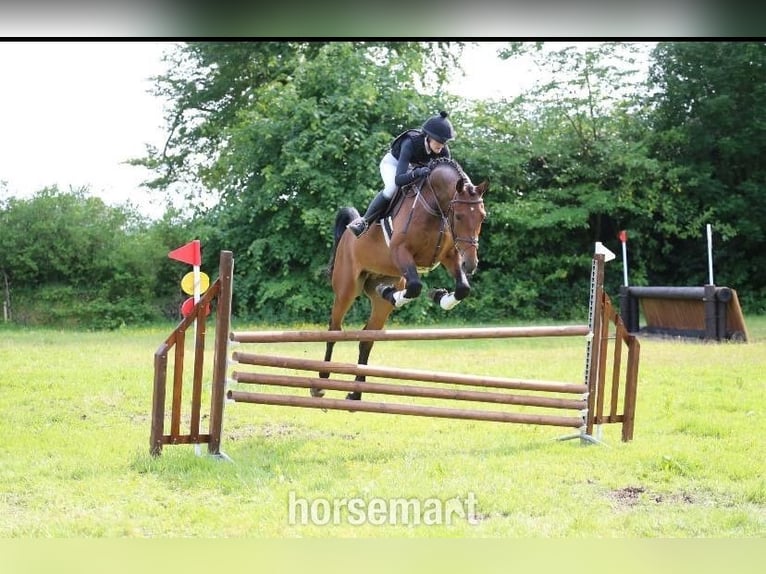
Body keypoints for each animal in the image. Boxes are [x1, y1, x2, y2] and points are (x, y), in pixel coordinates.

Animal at [313, 157, 489, 400]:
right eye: (460, 216)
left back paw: (356, 393)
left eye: (482, 216)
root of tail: (348, 232)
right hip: (347, 289)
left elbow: (462, 288)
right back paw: (321, 381)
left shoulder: (450, 256)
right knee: (334, 329)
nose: (470, 264)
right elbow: (415, 286)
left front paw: (439, 296)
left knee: (367, 336)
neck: (435, 206)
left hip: (386, 287)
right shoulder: (401, 251)